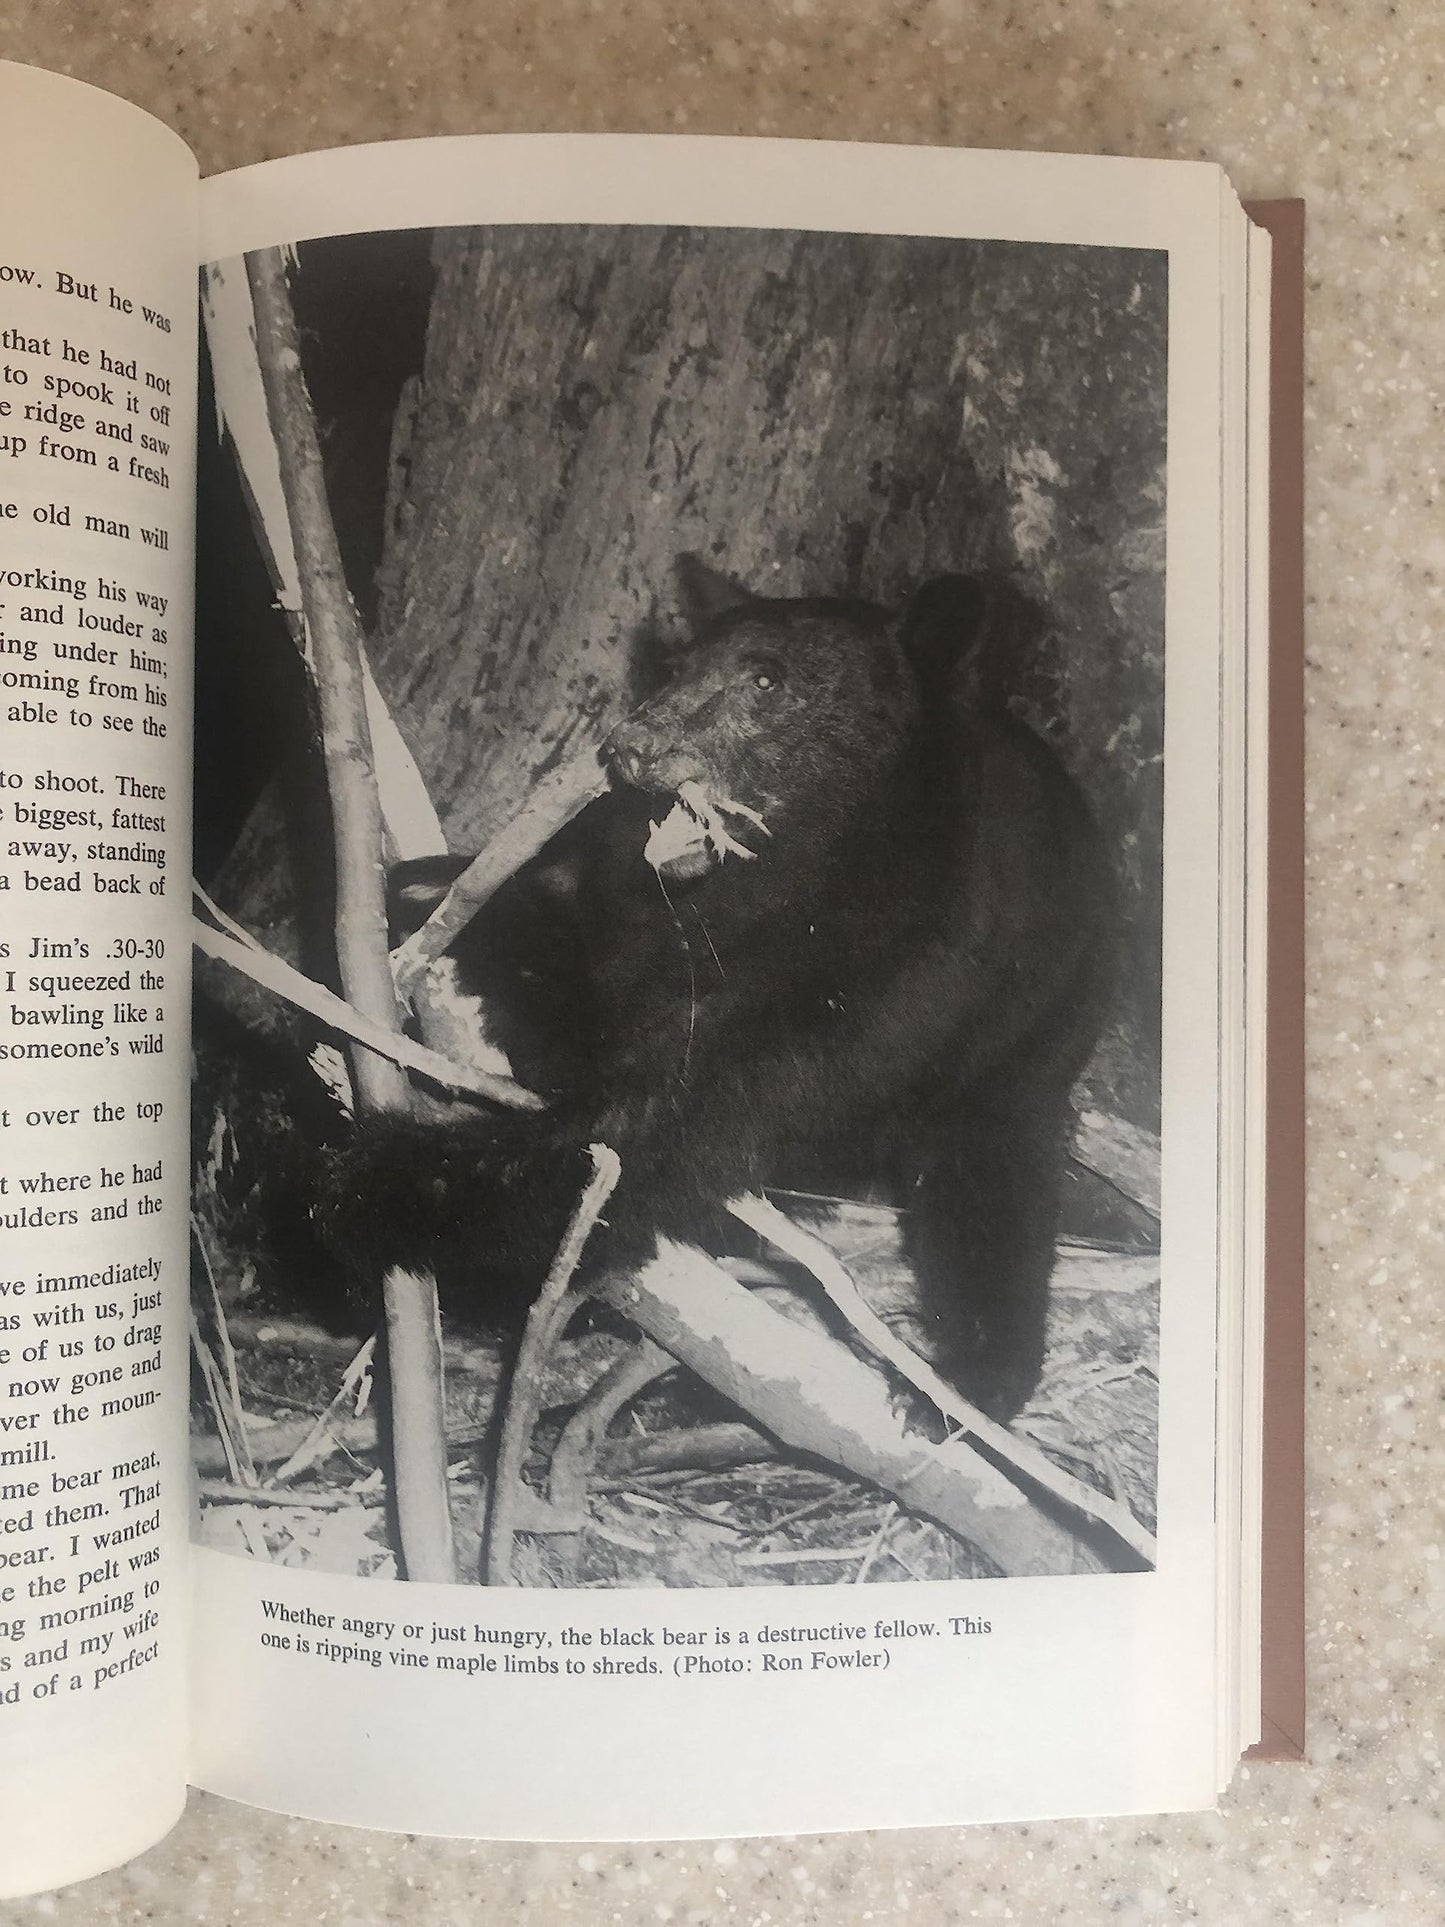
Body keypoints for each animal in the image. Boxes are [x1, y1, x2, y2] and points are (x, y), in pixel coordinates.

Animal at [315, 556, 1115, 1422]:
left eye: (765, 679)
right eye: (675, 667)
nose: (630, 744)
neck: (796, 881)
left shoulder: (895, 977)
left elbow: (662, 1131)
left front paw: (366, 1176)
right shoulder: (645, 913)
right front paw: (439, 907)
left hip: (1016, 1053)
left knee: (993, 1187)